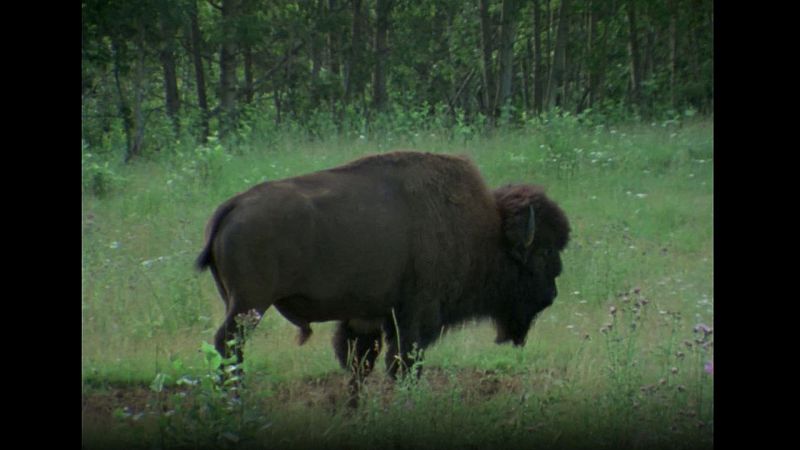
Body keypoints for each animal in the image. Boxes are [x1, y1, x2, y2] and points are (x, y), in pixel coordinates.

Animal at [195, 151, 568, 386]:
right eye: (544, 250)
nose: (552, 294)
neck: (485, 230)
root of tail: (233, 206)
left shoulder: (366, 320)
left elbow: (359, 366)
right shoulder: (414, 317)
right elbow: (403, 365)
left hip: (239, 303)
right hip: (249, 305)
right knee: (228, 347)